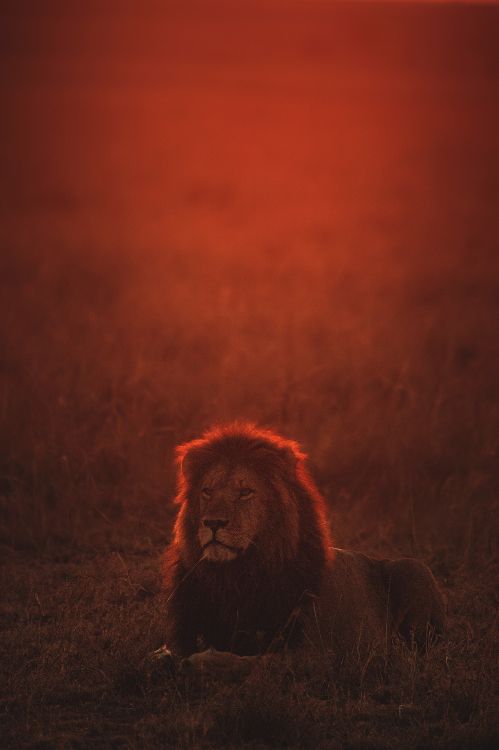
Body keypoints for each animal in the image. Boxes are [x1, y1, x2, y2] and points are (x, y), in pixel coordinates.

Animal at [161, 423, 445, 677]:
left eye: (245, 492)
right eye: (207, 491)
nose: (213, 523)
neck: (234, 577)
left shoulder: (321, 654)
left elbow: (260, 662)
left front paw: (204, 662)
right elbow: (164, 655)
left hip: (413, 568)